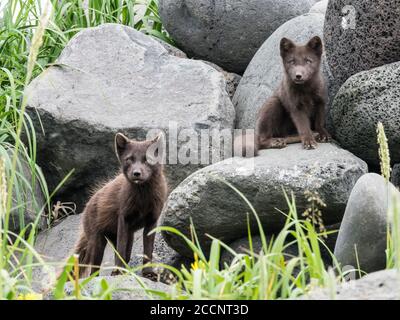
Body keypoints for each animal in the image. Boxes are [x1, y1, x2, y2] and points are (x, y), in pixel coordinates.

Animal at [73, 131, 167, 278]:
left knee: (125, 256)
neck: (142, 202)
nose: (136, 173)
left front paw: (148, 273)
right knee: (93, 269)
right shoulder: (123, 218)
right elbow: (121, 250)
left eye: (148, 159)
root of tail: (88, 205)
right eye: (129, 159)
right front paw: (118, 272)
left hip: (126, 236)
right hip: (97, 241)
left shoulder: (152, 220)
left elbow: (148, 250)